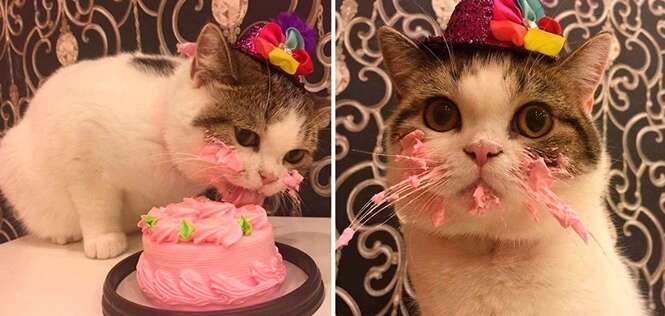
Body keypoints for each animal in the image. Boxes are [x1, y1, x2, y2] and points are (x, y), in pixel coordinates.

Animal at [0, 22, 330, 260]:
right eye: (245, 136)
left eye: (294, 156)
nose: (268, 177)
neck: (167, 152)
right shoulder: (82, 148)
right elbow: (95, 202)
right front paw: (104, 239)